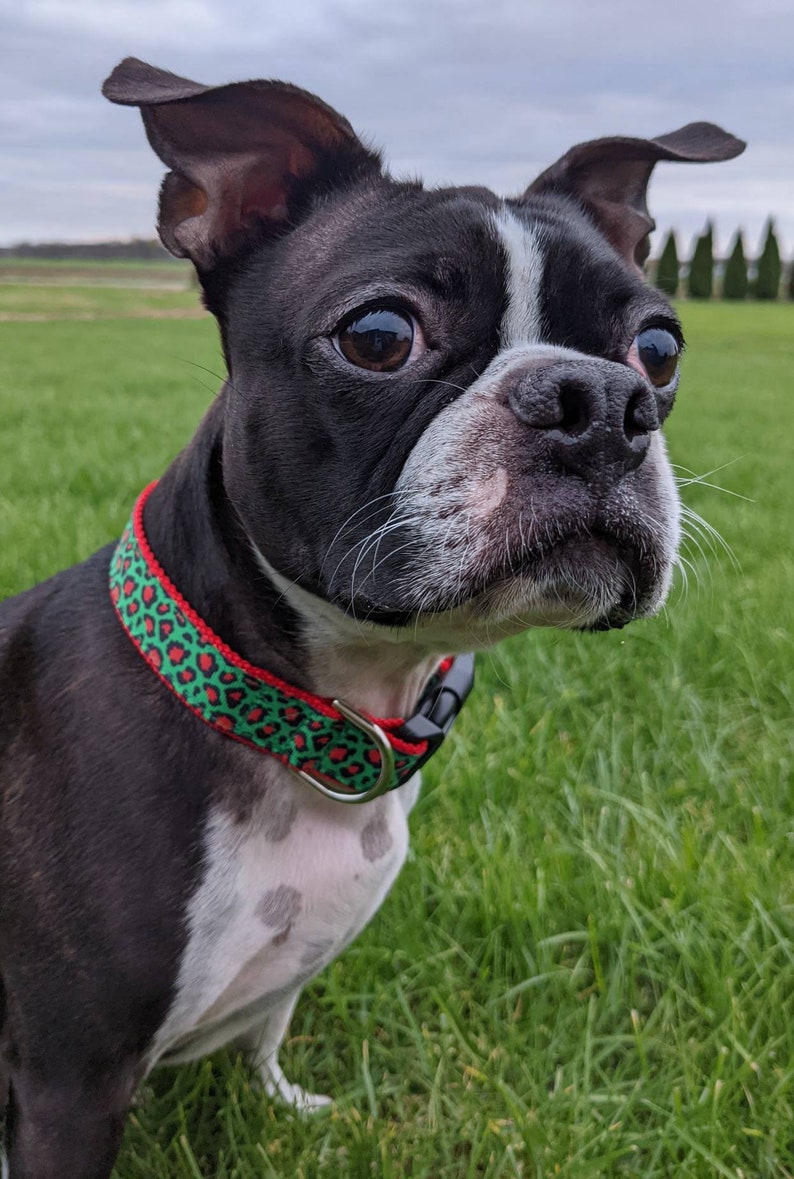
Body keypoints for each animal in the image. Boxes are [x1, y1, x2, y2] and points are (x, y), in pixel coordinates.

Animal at [0, 62, 745, 1179]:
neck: (315, 713)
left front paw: (286, 1105)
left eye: (658, 348)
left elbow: (264, 1031)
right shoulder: (67, 1084)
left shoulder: (282, 975)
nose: (600, 398)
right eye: (378, 335)